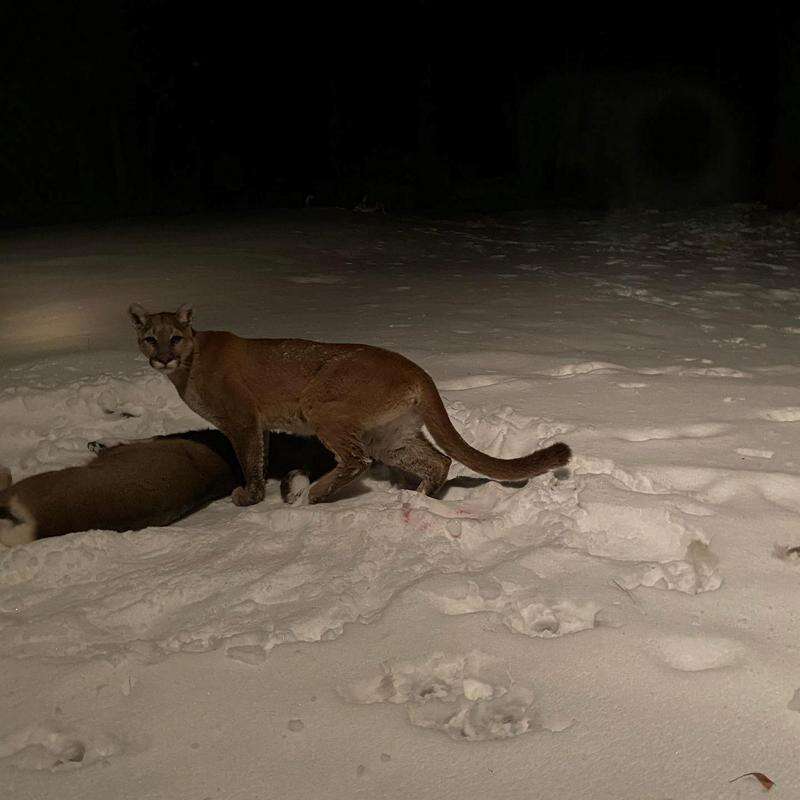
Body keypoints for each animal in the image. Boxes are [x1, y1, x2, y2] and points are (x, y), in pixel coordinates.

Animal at [128, 304, 572, 506]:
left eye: (175, 338)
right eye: (151, 338)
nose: (162, 358)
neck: (191, 361)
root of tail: (417, 369)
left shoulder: (242, 420)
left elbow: (250, 461)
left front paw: (249, 496)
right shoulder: (257, 424)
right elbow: (260, 455)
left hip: (320, 406)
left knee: (356, 461)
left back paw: (313, 495)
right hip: (389, 435)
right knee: (438, 460)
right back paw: (418, 498)